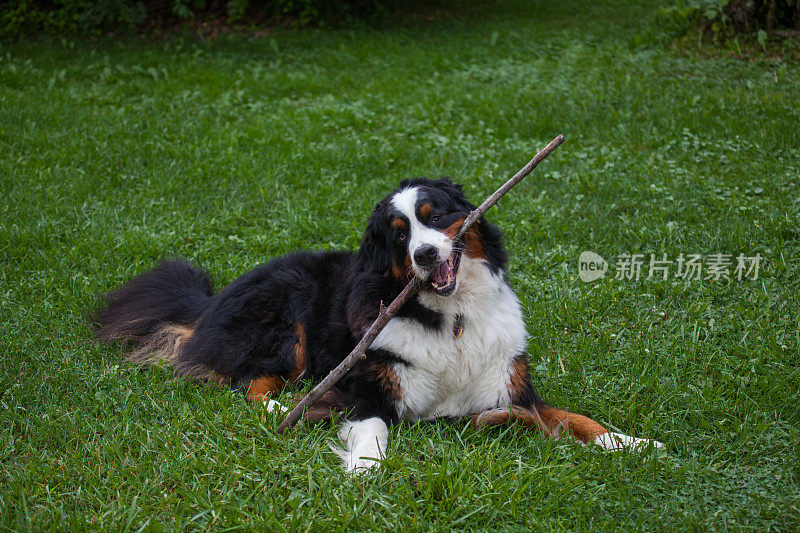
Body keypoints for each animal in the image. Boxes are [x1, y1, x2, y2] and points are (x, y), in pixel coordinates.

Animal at [94, 177, 664, 472]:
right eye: (398, 235)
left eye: (435, 217)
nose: (426, 254)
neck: (448, 319)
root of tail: (212, 301)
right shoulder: (366, 391)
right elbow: (373, 428)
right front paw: (365, 468)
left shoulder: (512, 391)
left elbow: (578, 419)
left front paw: (635, 444)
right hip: (289, 314)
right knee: (249, 383)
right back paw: (290, 406)